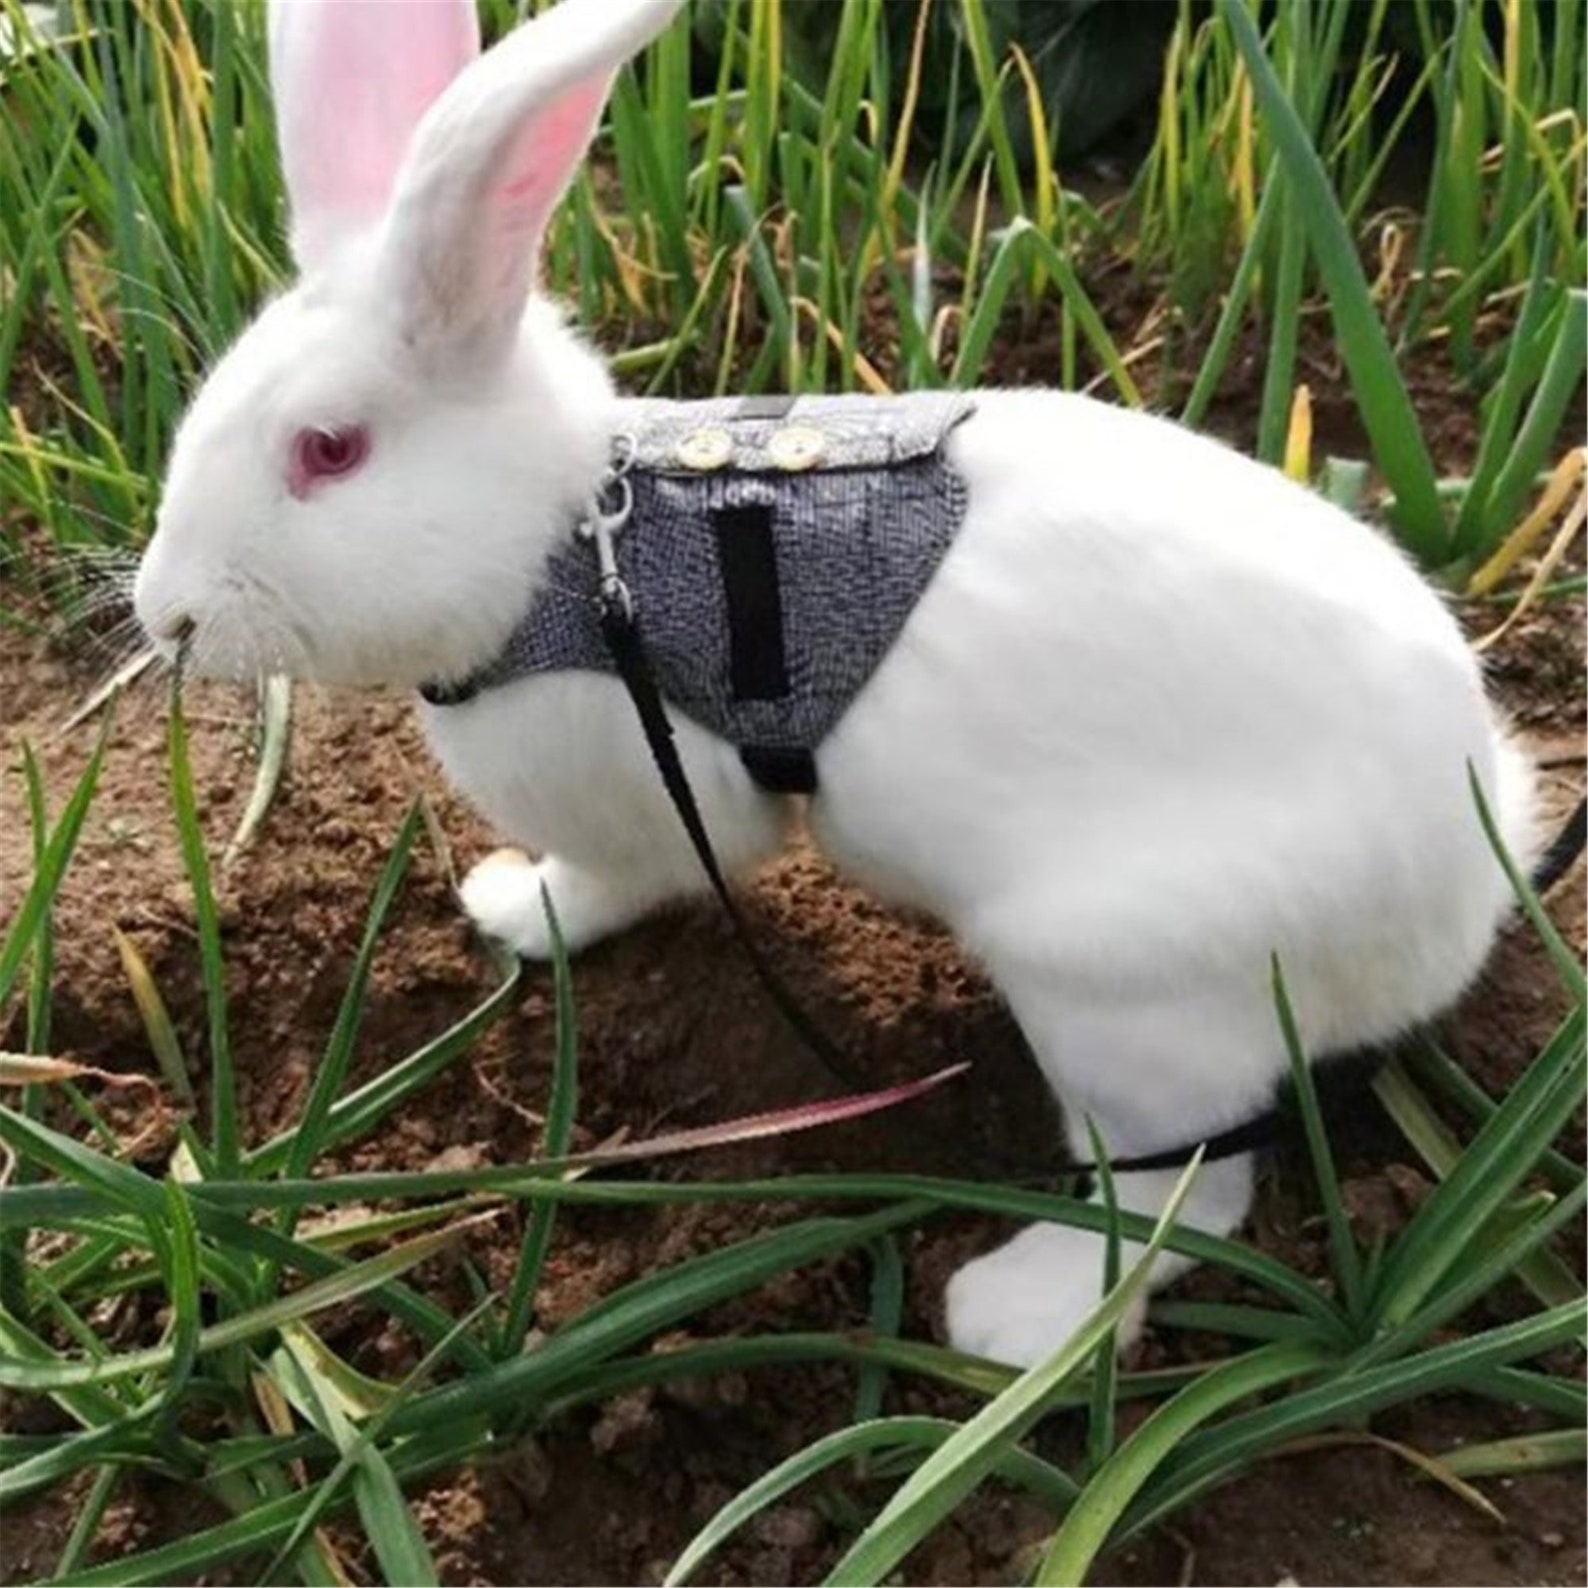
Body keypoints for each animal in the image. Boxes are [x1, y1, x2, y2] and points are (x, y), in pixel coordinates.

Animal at [133, 0, 1542, 1370]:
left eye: (328, 451)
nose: (165, 612)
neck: (564, 544)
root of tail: (1465, 888)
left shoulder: (651, 804)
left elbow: (610, 882)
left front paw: (515, 911)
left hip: (1122, 997)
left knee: (1177, 1196)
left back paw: (1011, 1317)